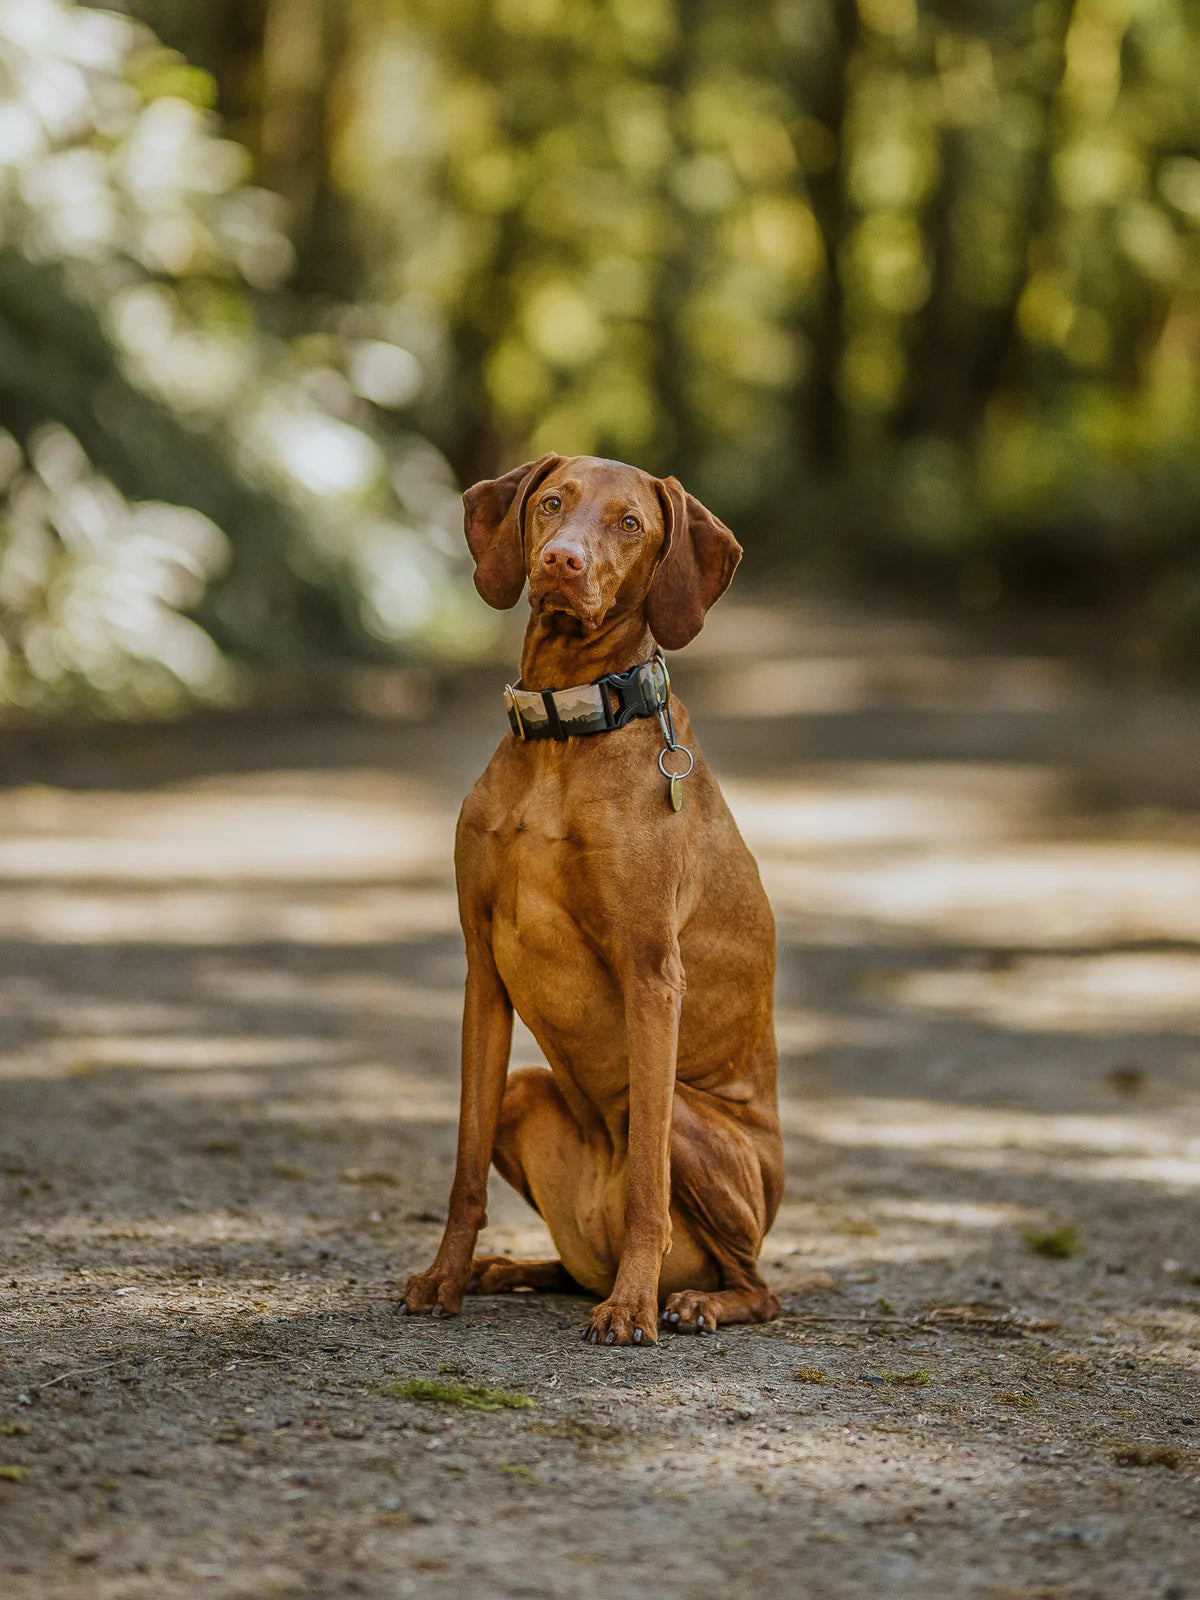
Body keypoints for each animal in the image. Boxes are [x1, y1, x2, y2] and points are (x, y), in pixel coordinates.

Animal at [400, 457, 784, 1344]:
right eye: (550, 504)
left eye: (630, 524)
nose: (560, 562)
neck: (562, 736)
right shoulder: (483, 974)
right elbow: (464, 1170)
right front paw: (445, 1279)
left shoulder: (652, 976)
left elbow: (648, 1188)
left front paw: (633, 1311)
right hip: (525, 1091)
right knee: (574, 1270)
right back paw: (507, 1269)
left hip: (686, 1125)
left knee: (760, 1286)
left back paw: (688, 1300)